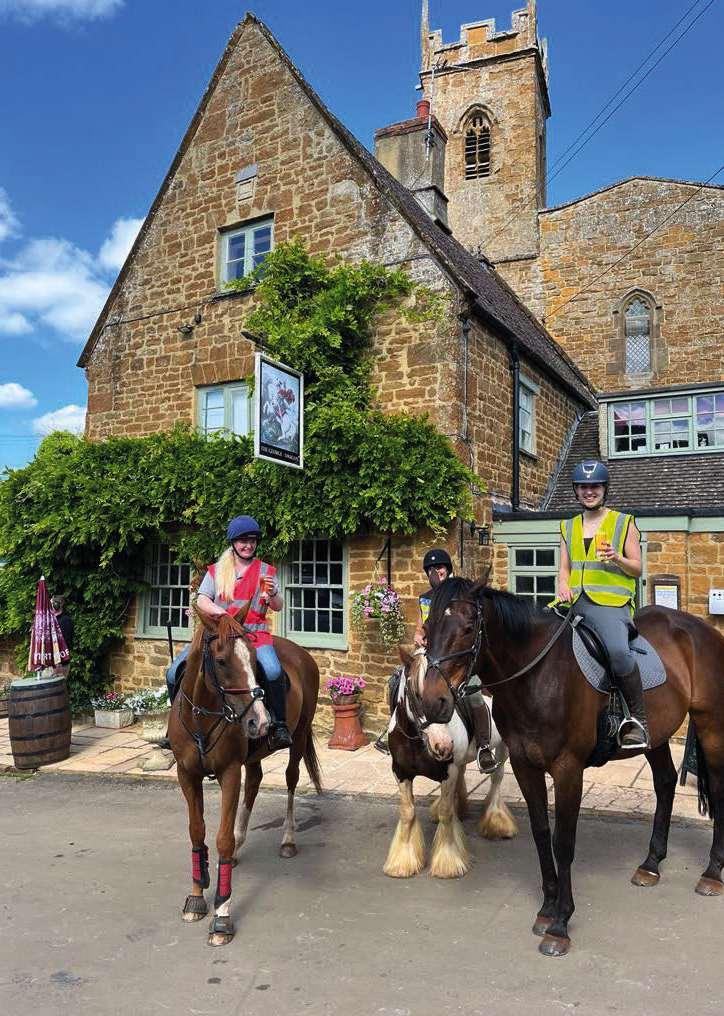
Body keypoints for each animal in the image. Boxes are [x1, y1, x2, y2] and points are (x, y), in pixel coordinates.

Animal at [168, 609, 322, 947]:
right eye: (221, 661)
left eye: (253, 660)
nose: (260, 721)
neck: (204, 716)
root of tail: (302, 653)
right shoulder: (186, 774)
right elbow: (196, 832)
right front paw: (196, 896)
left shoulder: (229, 772)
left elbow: (221, 838)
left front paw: (222, 915)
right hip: (252, 756)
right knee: (254, 782)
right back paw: (240, 847)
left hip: (298, 737)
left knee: (291, 780)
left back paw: (287, 839)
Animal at [384, 646, 517, 880]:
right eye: (416, 695)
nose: (443, 745)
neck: (417, 740)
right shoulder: (401, 773)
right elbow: (408, 812)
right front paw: (403, 862)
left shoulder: (449, 771)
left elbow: (446, 813)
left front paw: (448, 862)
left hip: (502, 749)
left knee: (497, 779)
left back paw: (496, 822)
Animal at [420, 576, 724, 957]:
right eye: (428, 626)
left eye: (468, 628)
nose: (433, 701)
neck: (536, 675)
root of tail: (701, 629)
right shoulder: (525, 765)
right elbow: (540, 834)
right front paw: (547, 909)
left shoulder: (568, 769)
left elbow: (563, 841)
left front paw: (561, 924)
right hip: (656, 736)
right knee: (666, 783)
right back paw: (651, 864)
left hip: (711, 725)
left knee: (714, 787)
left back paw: (712, 873)